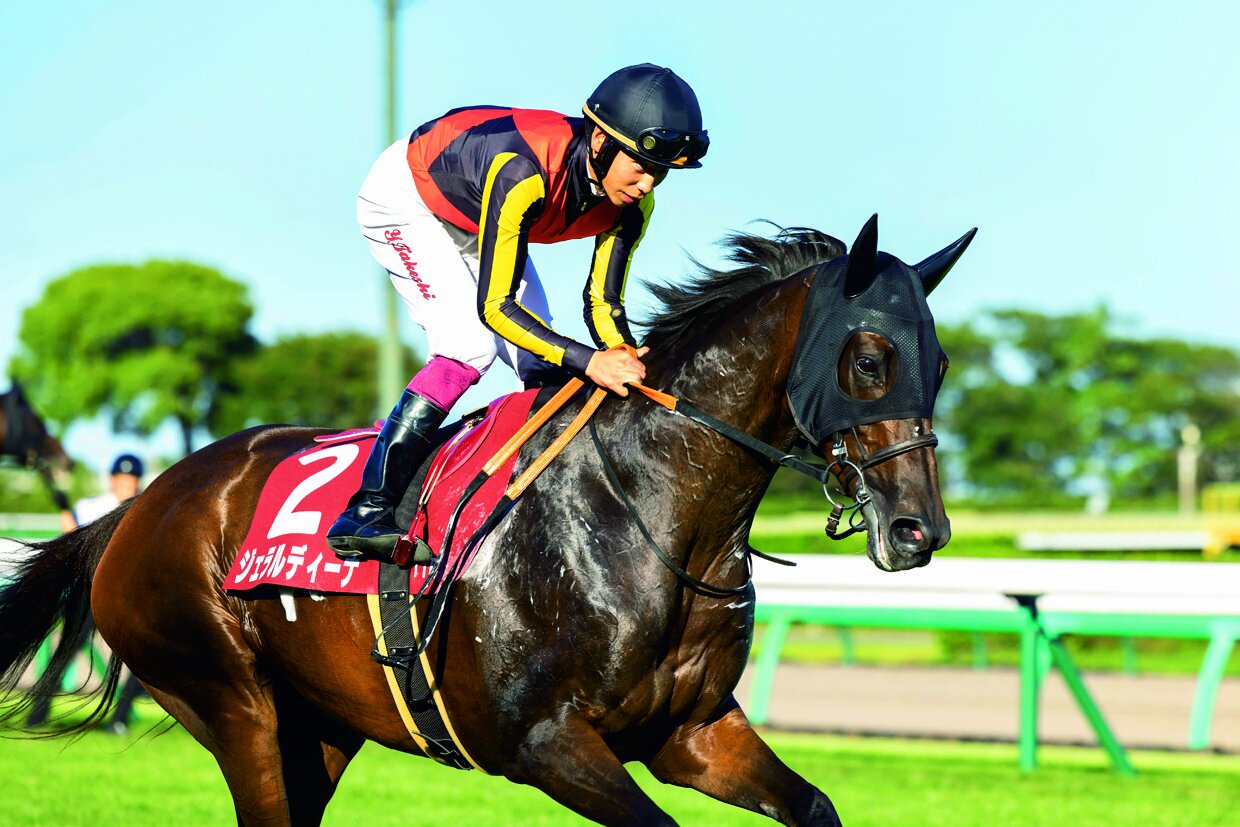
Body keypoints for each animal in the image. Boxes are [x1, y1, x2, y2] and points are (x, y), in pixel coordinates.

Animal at [0, 215, 973, 826]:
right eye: (871, 359)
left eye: (940, 362)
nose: (920, 532)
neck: (649, 512)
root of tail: (140, 507)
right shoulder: (542, 740)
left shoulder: (692, 732)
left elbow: (815, 803)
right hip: (231, 701)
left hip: (318, 728)